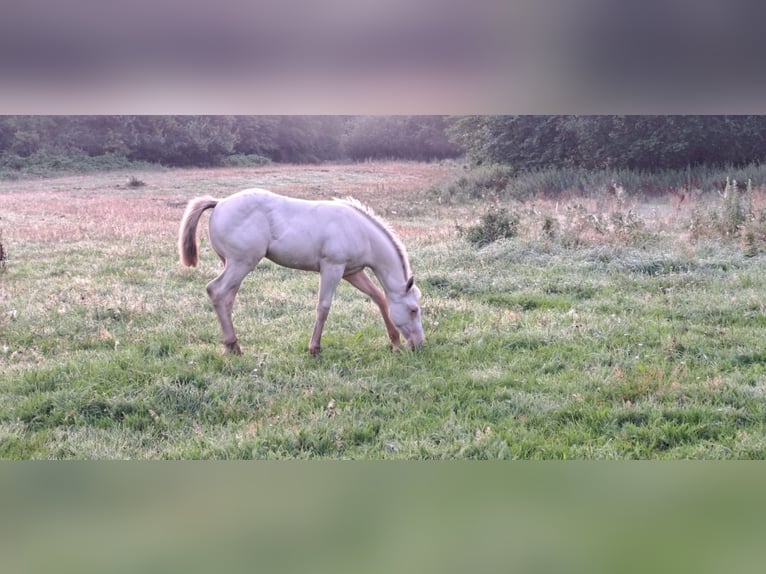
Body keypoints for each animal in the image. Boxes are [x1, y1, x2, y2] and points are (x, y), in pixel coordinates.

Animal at [178, 189, 424, 355]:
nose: (419, 344)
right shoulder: (332, 268)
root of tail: (219, 203)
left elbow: (379, 298)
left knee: (227, 298)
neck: (360, 231)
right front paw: (314, 348)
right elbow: (323, 307)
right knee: (216, 291)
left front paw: (395, 342)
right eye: (413, 310)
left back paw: (233, 346)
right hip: (241, 263)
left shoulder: (351, 272)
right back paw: (232, 345)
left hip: (232, 264)